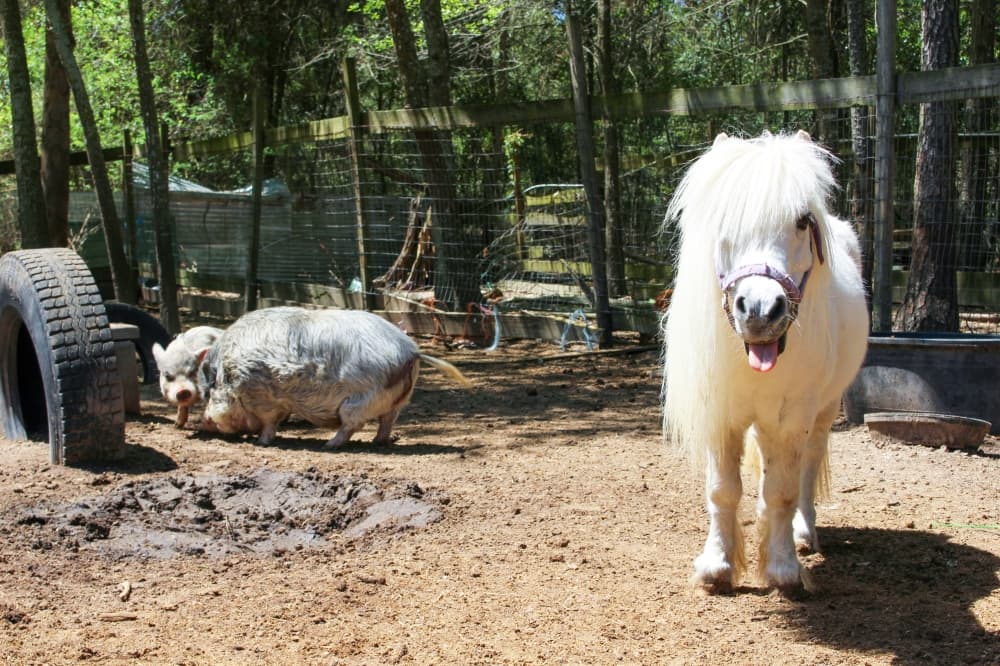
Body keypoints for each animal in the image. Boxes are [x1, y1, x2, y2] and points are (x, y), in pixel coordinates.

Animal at [661, 130, 869, 594]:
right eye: (722, 223)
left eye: (802, 221)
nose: (759, 310)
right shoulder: (721, 416)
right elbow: (722, 490)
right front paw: (717, 567)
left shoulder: (792, 419)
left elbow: (783, 491)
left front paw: (783, 569)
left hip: (823, 412)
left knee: (808, 467)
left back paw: (803, 534)